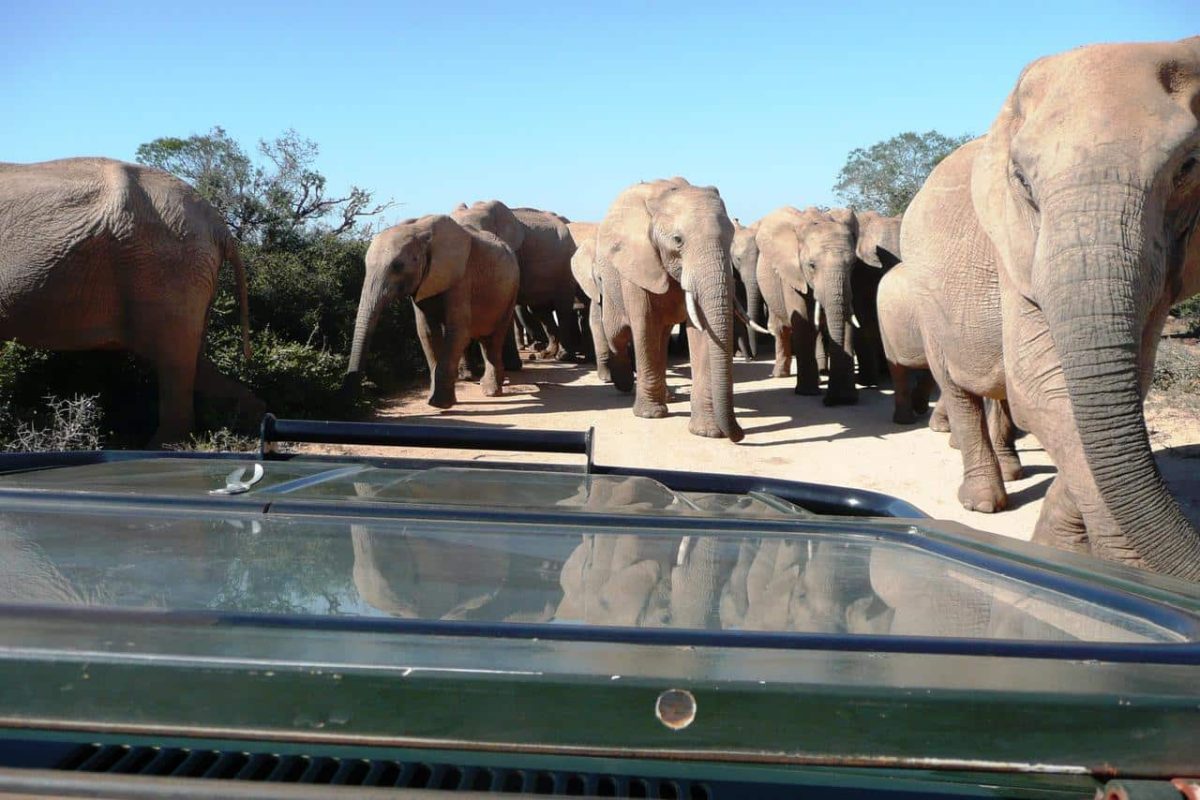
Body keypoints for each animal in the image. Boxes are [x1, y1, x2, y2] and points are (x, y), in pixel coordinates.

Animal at [346, 214, 519, 409]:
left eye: (398, 266)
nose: (361, 396)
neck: (421, 232)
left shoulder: (461, 278)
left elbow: (457, 332)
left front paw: (439, 404)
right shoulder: (422, 283)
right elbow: (427, 332)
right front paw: (438, 401)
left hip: (511, 291)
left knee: (495, 338)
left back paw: (491, 392)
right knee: (485, 338)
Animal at [594, 177, 754, 441]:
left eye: (731, 239)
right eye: (678, 240)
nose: (740, 434)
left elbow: (701, 330)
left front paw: (707, 432)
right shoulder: (637, 263)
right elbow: (644, 324)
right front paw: (649, 415)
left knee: (660, 335)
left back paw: (666, 397)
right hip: (610, 282)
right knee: (618, 333)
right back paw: (626, 386)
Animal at [755, 206, 860, 405]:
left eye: (853, 264)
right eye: (811, 265)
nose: (830, 401)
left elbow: (848, 321)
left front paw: (848, 397)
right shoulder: (791, 273)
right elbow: (803, 323)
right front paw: (807, 393)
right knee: (781, 328)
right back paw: (781, 375)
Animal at [908, 38, 1200, 578]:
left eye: (1188, 167)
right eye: (1021, 180)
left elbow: (1115, 387)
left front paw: (1058, 550)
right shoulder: (1014, 249)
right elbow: (1043, 387)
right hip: (925, 297)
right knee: (957, 387)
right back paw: (982, 503)